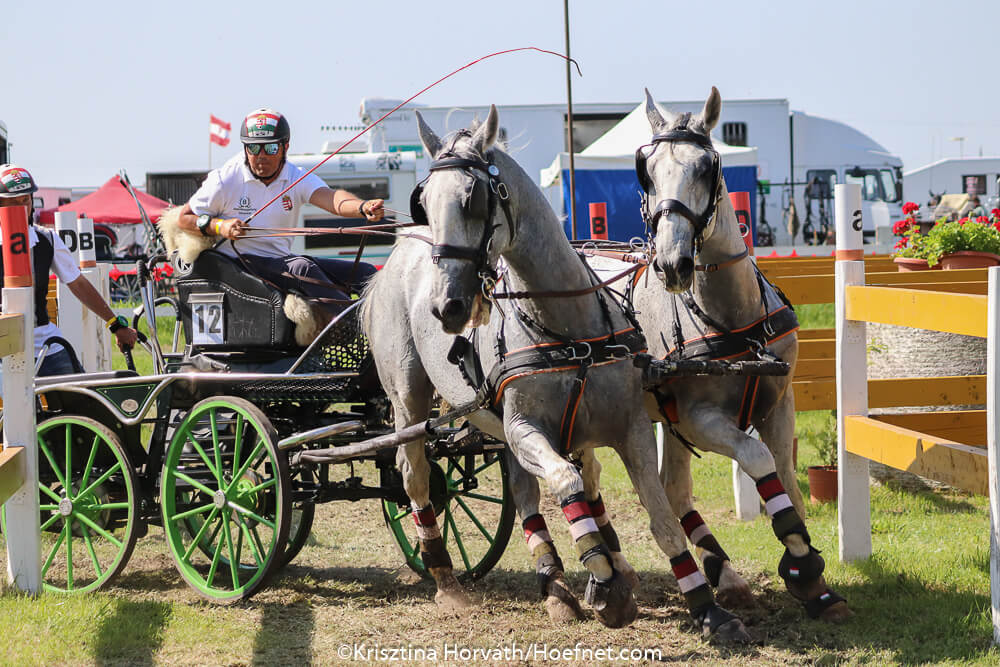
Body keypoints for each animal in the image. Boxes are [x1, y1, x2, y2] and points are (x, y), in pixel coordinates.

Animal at [361, 106, 750, 640]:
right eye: (426, 203)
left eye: (473, 198)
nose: (447, 307)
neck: (567, 324)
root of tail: (399, 253)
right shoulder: (525, 429)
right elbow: (567, 484)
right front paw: (605, 585)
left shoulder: (629, 428)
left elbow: (659, 514)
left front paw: (706, 606)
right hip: (411, 405)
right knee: (417, 479)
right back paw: (449, 580)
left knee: (526, 492)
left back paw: (556, 580)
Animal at [634, 86, 851, 622]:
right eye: (648, 171)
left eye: (706, 167)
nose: (673, 264)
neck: (731, 320)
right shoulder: (698, 419)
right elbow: (756, 459)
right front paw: (801, 564)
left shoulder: (780, 403)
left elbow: (788, 482)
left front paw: (815, 582)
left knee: (672, 487)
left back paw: (725, 576)